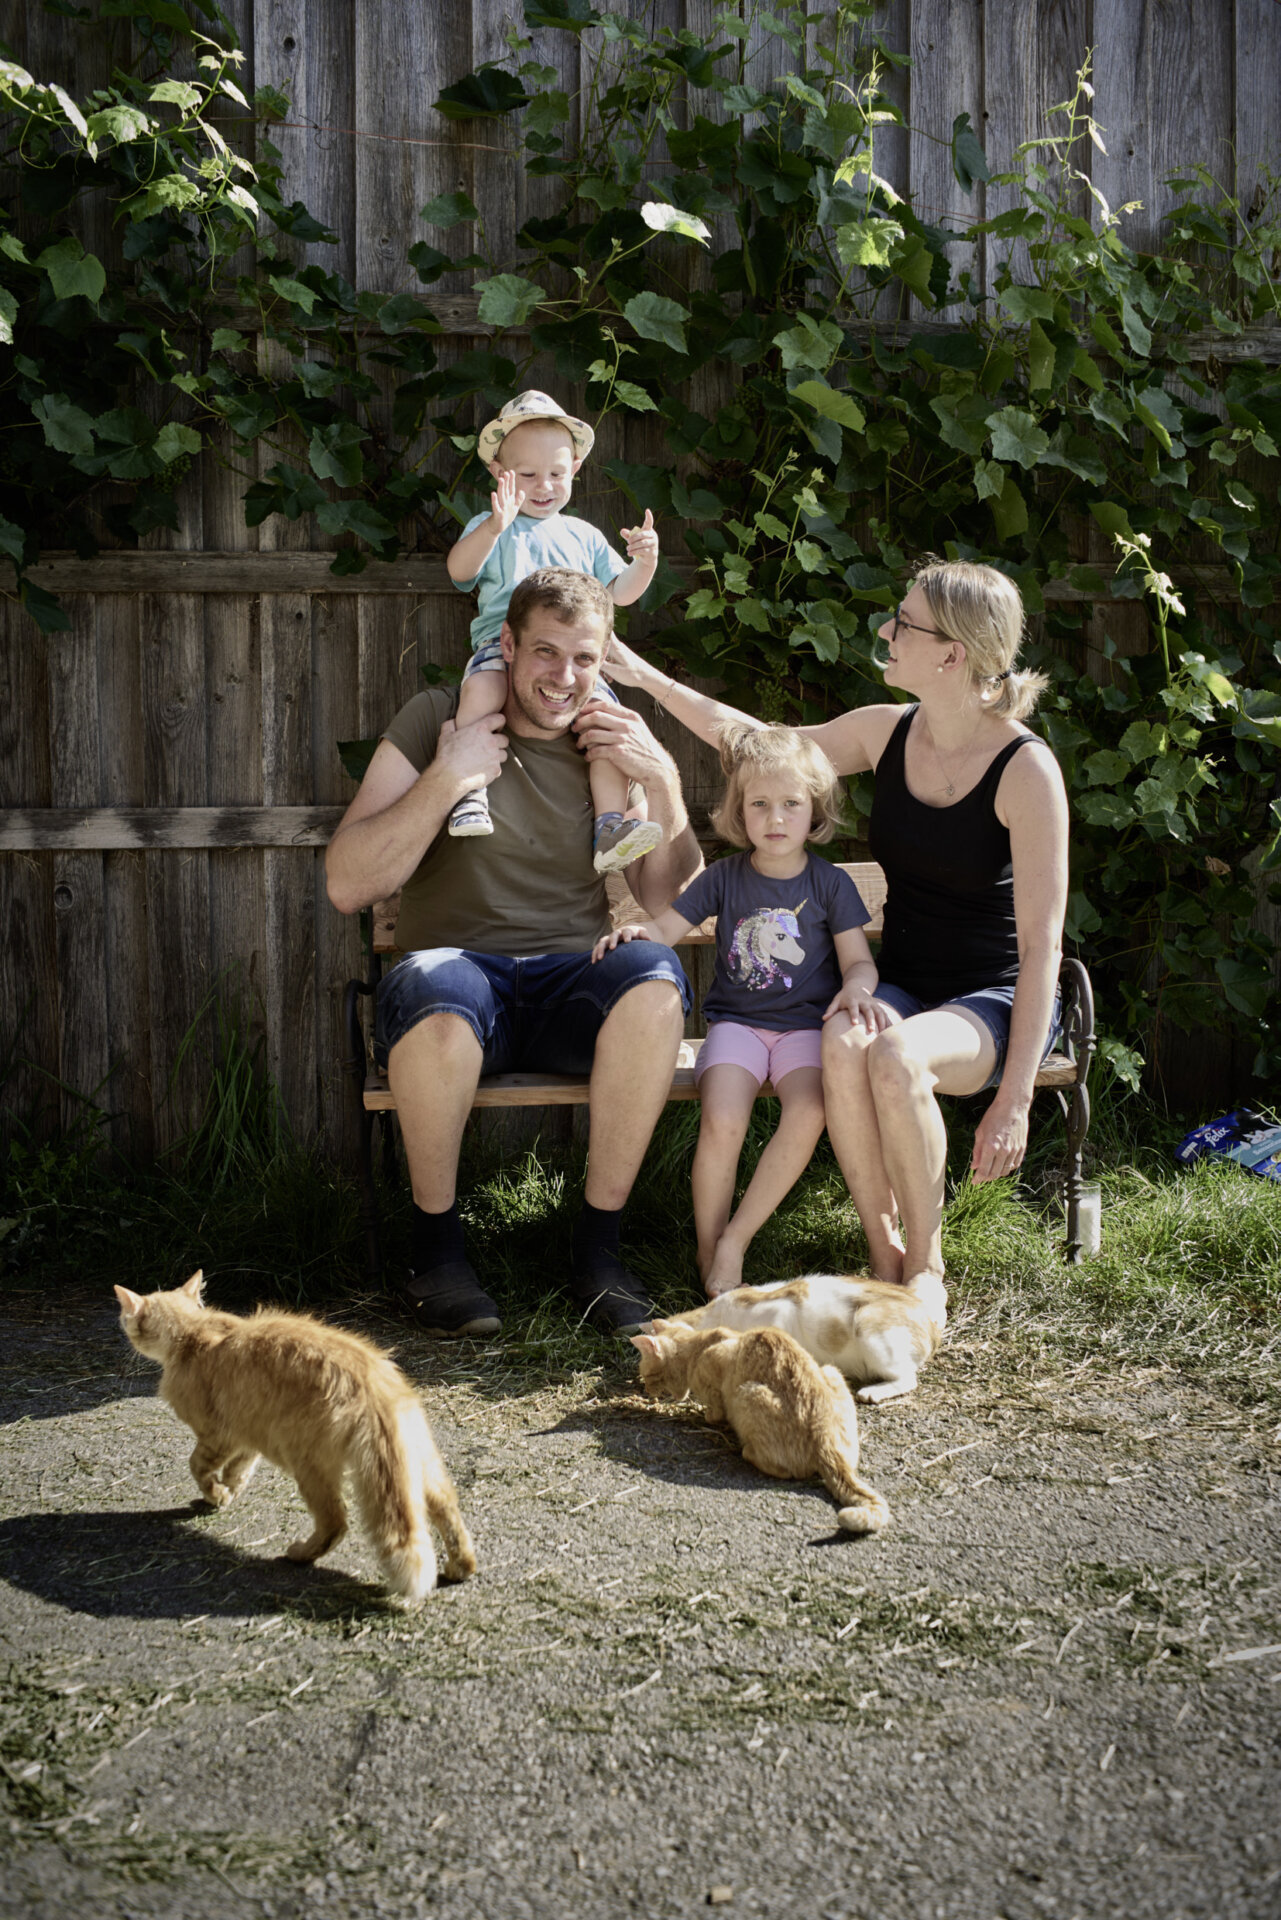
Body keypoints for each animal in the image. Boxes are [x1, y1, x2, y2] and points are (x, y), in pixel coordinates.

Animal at [113, 1274, 476, 1605]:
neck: (194, 1332)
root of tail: (371, 1382)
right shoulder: (248, 1434)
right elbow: (240, 1470)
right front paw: (230, 1489)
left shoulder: (219, 1435)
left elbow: (199, 1467)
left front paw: (216, 1495)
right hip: (419, 1465)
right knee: (446, 1509)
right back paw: (460, 1567)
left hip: (309, 1468)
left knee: (335, 1521)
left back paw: (300, 1554)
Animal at [629, 1320, 891, 1528]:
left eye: (647, 1375)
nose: (646, 1390)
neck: (698, 1346)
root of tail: (825, 1437)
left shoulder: (715, 1377)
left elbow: (715, 1412)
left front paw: (705, 1415)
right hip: (831, 1372)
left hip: (748, 1395)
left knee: (785, 1470)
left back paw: (746, 1451)